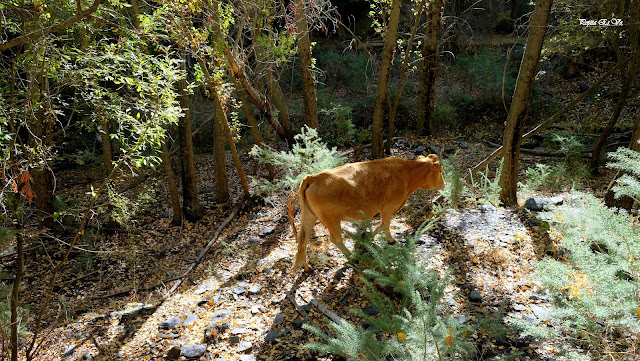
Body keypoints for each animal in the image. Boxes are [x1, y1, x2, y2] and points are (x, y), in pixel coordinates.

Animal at [294, 153, 444, 268]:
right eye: (440, 170)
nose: (443, 184)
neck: (405, 173)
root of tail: (314, 177)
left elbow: (381, 225)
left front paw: (366, 236)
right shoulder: (388, 207)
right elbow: (385, 225)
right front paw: (389, 240)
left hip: (309, 216)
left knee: (303, 239)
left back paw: (305, 266)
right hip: (332, 220)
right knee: (335, 239)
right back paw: (352, 257)